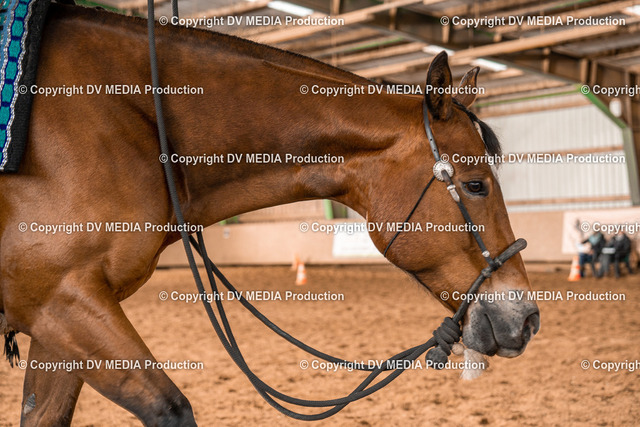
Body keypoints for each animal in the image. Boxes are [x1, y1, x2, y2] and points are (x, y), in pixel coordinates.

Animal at [0, 3, 540, 425]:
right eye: (475, 184)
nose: (529, 317)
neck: (124, 115)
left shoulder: (59, 324)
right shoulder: (63, 300)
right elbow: (171, 409)